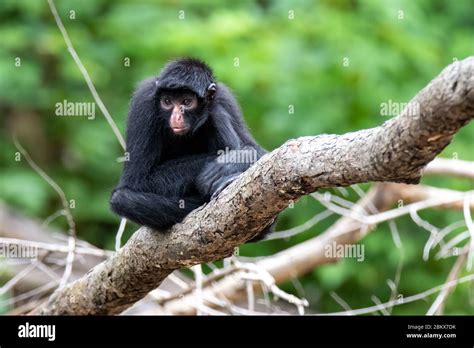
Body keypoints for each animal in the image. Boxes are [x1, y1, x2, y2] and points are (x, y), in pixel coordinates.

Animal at [109, 57, 276, 242]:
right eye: (167, 102)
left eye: (187, 102)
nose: (176, 117)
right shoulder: (143, 102)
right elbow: (136, 181)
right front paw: (221, 166)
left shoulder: (224, 97)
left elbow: (257, 150)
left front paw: (230, 163)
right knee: (121, 198)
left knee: (215, 112)